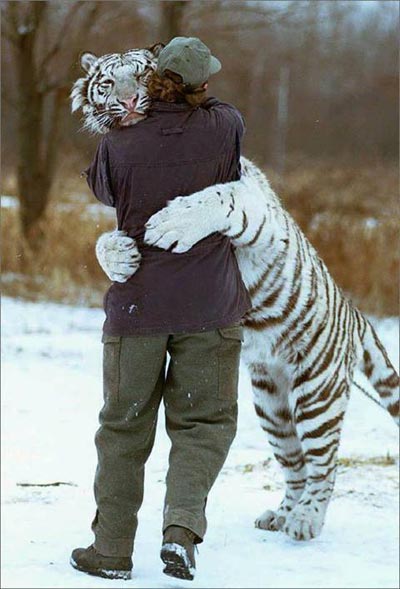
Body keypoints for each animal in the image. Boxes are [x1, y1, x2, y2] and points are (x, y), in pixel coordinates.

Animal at [70, 48, 398, 540]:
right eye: (108, 83)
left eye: (142, 74)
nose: (127, 102)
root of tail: (358, 318)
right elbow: (102, 240)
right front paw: (120, 256)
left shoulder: (255, 209)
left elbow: (220, 198)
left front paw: (171, 223)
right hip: (271, 402)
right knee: (295, 464)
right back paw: (281, 513)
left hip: (316, 395)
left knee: (324, 465)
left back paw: (306, 520)